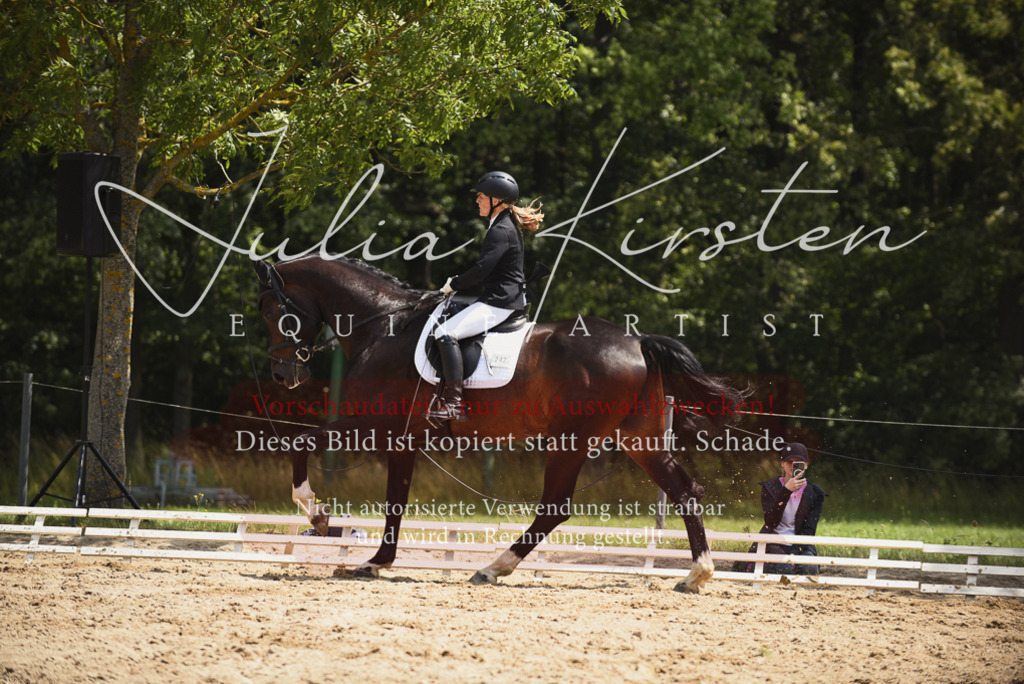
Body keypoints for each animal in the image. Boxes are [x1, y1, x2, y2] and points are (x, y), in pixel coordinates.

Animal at [253, 256, 742, 593]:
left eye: (272, 312)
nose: (282, 375)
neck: (383, 326)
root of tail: (638, 341)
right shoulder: (404, 439)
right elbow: (396, 499)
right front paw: (376, 560)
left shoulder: (374, 424)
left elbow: (302, 443)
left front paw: (319, 516)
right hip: (637, 438)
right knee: (686, 492)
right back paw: (697, 575)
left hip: (572, 440)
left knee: (555, 507)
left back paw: (493, 566)